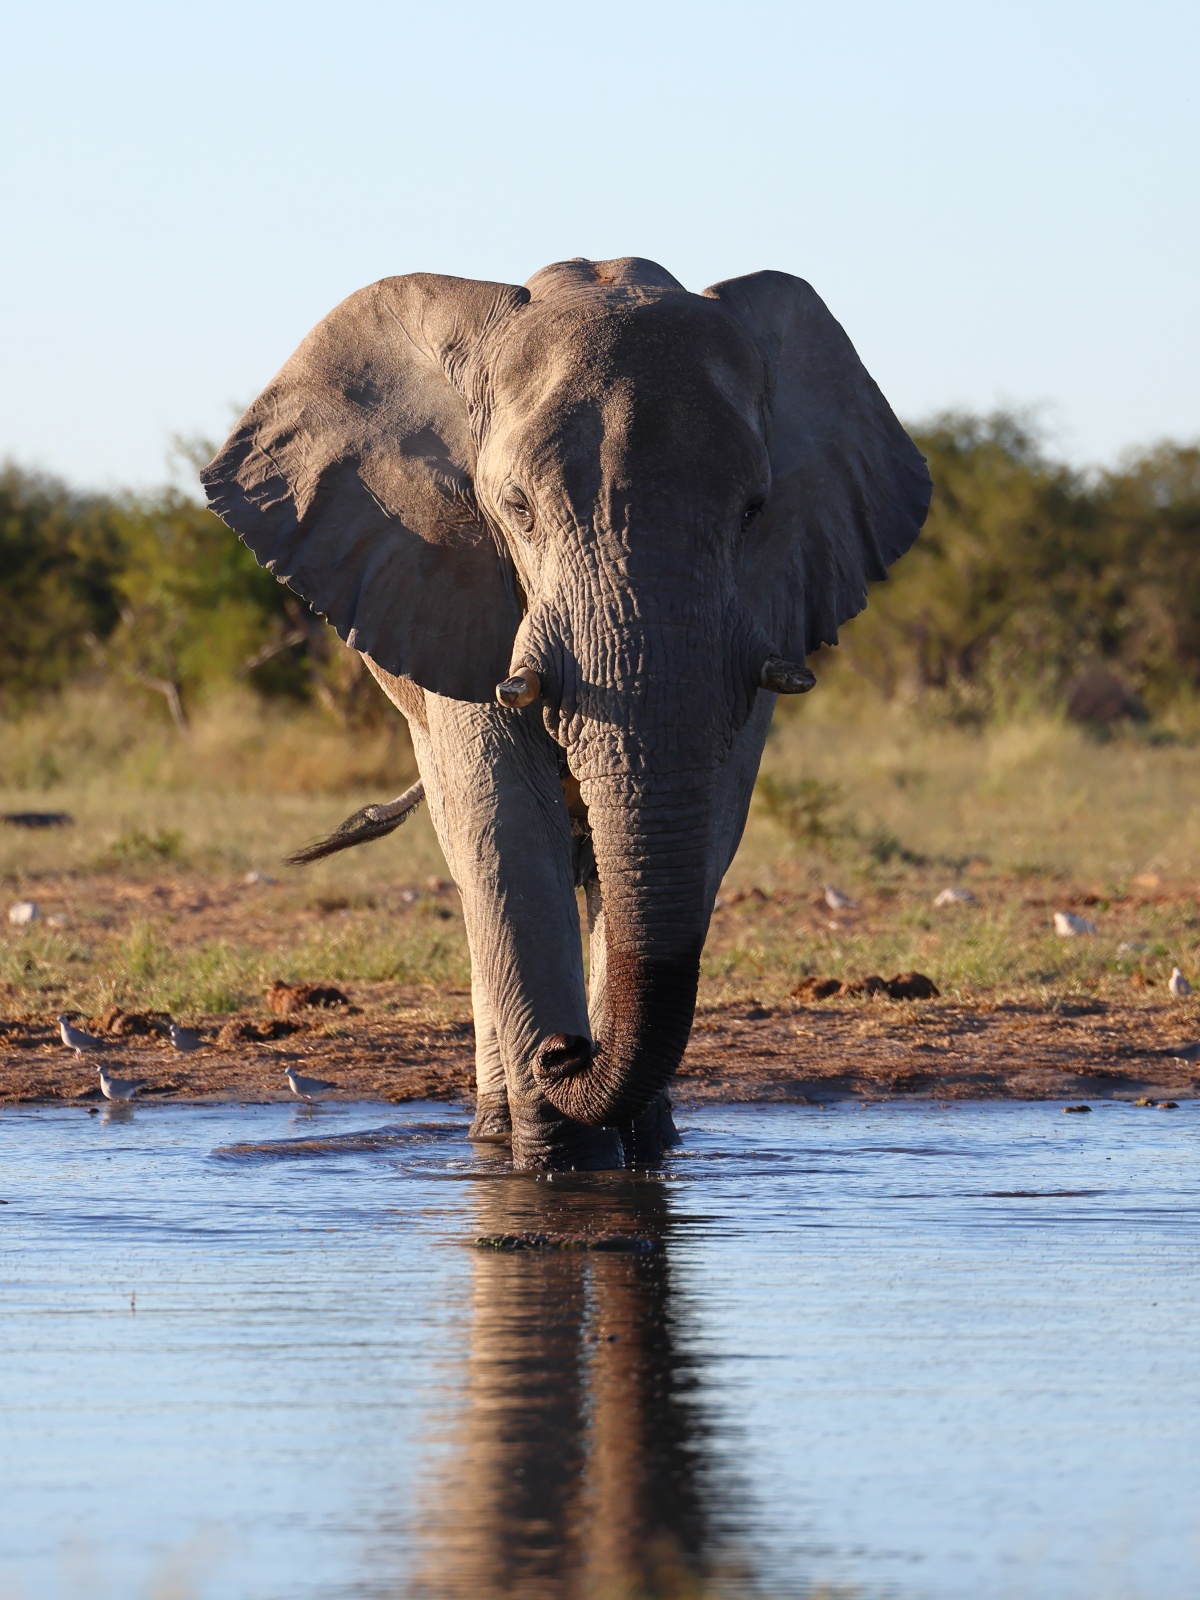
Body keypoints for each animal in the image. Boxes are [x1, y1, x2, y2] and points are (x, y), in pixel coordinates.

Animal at [202, 256, 931, 1171]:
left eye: (754, 510)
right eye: (516, 508)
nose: (566, 1052)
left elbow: (708, 817)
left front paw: (625, 1147)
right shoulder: (456, 584)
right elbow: (505, 824)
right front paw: (561, 1161)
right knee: (478, 859)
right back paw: (499, 1125)